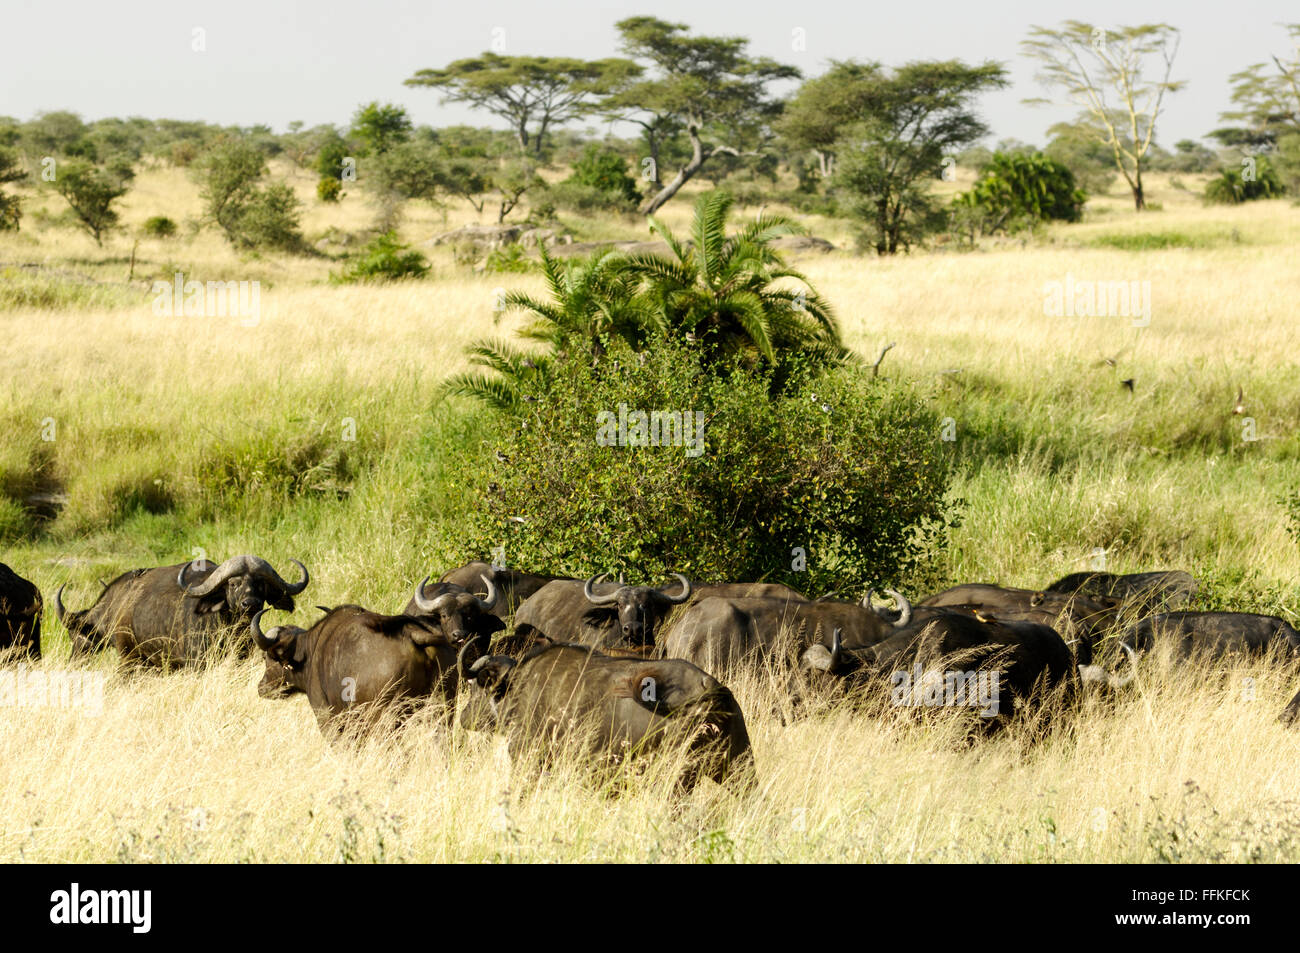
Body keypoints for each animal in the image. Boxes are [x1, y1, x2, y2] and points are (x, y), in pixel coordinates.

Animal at [249, 605, 462, 733]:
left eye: (269, 658)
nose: (261, 687)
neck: (309, 651)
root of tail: (412, 634)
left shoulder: (330, 722)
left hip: (386, 720)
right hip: (442, 711)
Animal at [462, 639, 759, 790]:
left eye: (476, 686)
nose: (464, 717)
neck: (520, 686)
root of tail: (711, 684)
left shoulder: (528, 759)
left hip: (675, 777)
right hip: (740, 766)